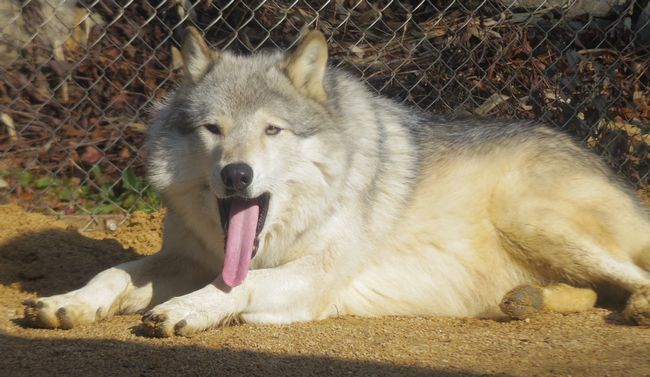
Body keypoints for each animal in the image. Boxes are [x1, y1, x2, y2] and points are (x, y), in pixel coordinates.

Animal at [22, 27, 644, 336]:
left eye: (272, 129)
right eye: (213, 128)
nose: (236, 173)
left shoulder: (314, 276)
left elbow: (236, 285)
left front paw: (186, 311)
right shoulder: (187, 258)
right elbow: (112, 274)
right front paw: (65, 304)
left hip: (529, 218)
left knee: (633, 279)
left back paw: (633, 307)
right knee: (594, 291)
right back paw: (523, 301)